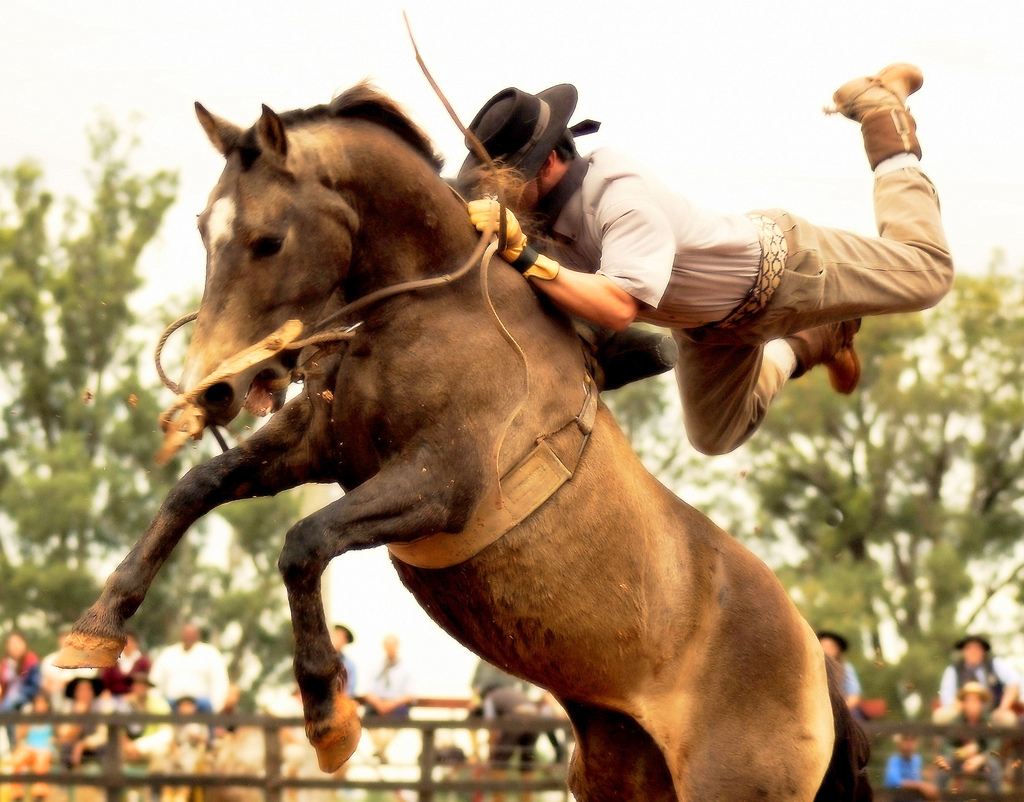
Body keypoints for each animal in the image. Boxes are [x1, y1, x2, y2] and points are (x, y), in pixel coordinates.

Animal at [56, 84, 868, 798]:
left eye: (268, 239)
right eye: (203, 229)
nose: (214, 390)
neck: (433, 308)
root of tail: (815, 667)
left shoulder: (443, 484)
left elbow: (303, 542)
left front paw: (328, 718)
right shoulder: (319, 446)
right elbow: (195, 489)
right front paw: (94, 630)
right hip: (620, 772)